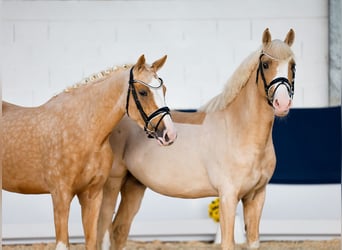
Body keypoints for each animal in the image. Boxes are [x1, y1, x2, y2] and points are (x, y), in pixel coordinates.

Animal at [2, 55, 178, 250]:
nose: (169, 134)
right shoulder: (61, 196)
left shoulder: (92, 195)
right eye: (143, 92)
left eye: (164, 89)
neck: (83, 131)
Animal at [97, 28, 296, 249]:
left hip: (134, 184)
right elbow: (227, 243)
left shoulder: (257, 197)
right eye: (266, 64)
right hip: (111, 184)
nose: (282, 104)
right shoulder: (228, 196)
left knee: (119, 229)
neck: (240, 131)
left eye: (293, 65)